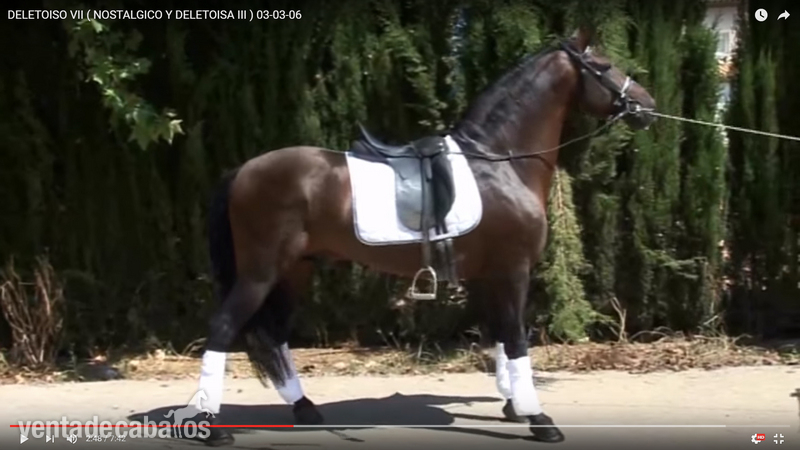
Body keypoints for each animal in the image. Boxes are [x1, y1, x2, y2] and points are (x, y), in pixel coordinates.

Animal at [192, 27, 656, 447]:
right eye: (604, 66)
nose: (647, 106)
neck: (499, 161)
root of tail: (242, 170)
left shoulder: (490, 276)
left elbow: (501, 337)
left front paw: (512, 404)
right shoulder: (513, 270)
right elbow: (516, 340)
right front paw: (538, 419)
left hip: (294, 271)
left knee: (273, 337)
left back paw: (304, 410)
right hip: (261, 272)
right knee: (223, 327)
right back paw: (212, 428)